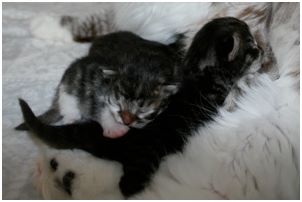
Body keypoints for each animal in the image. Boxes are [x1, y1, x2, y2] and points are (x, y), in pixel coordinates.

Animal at [17, 31, 184, 139]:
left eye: (144, 110)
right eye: (119, 103)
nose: (126, 121)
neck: (147, 61)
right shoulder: (97, 83)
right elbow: (100, 106)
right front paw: (114, 128)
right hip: (69, 86)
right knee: (69, 102)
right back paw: (72, 118)